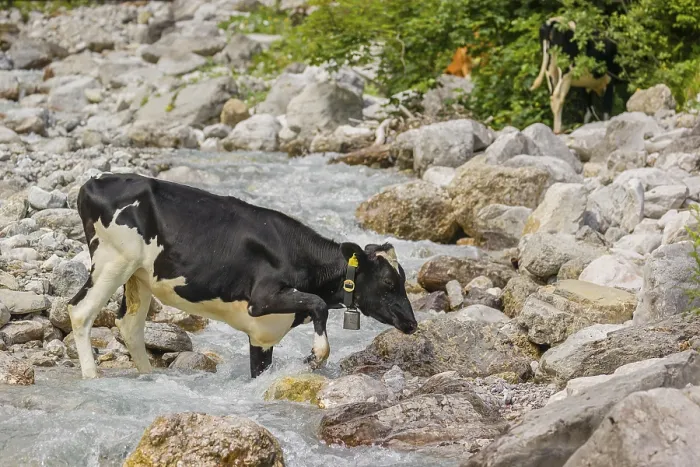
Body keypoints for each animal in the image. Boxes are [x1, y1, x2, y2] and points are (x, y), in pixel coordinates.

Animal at [67, 173, 418, 380]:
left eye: (403, 280)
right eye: (389, 282)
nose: (412, 323)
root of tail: (93, 181)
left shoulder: (263, 334)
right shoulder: (261, 300)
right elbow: (318, 305)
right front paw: (314, 357)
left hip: (138, 275)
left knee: (129, 324)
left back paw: (147, 374)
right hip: (113, 260)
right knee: (80, 311)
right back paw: (91, 377)